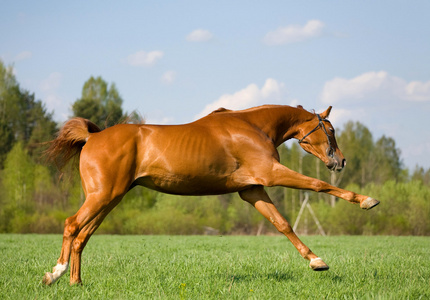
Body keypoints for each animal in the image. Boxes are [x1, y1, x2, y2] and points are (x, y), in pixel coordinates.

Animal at [42, 104, 380, 284]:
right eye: (331, 130)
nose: (340, 161)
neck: (251, 126)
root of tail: (92, 137)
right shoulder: (270, 174)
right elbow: (318, 185)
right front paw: (367, 201)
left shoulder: (252, 189)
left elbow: (282, 223)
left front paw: (316, 261)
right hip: (102, 196)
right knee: (72, 225)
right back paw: (55, 274)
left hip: (109, 199)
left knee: (83, 236)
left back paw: (76, 282)